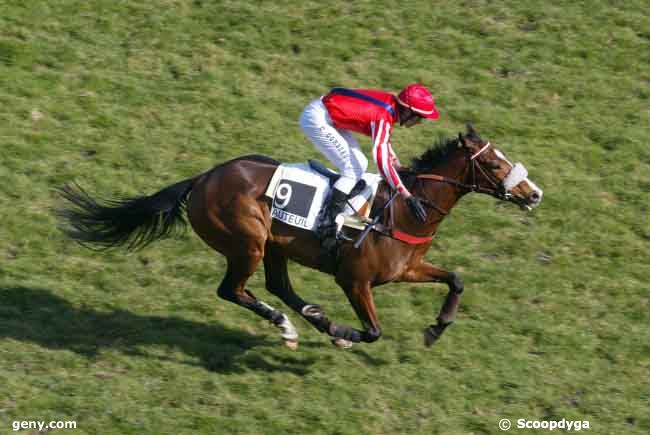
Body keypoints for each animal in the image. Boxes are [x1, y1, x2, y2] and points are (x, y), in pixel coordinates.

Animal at [57, 124, 540, 350]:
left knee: (276, 286)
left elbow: (455, 279)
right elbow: (373, 331)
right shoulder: (355, 281)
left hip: (273, 246)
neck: (406, 208)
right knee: (233, 290)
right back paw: (294, 325)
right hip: (247, 242)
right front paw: (344, 332)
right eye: (493, 164)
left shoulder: (407, 269)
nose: (533, 193)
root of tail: (203, 178)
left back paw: (307, 319)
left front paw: (436, 328)